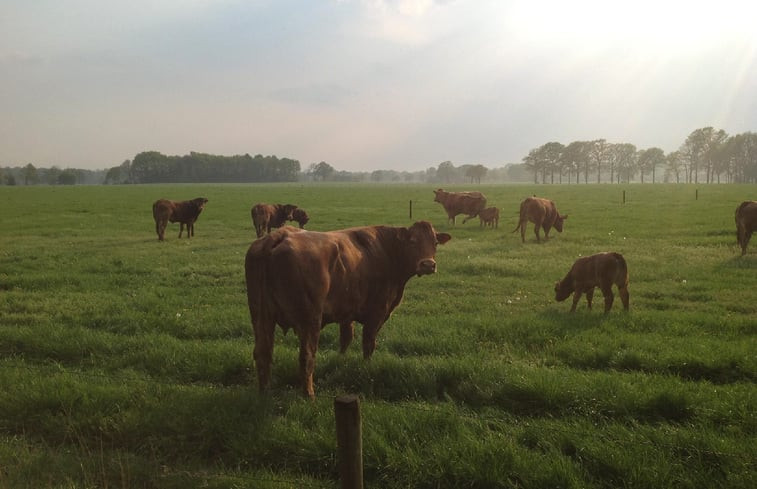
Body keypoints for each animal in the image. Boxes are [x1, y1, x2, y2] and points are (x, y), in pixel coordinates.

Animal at [245, 220, 452, 396]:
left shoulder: (346, 312)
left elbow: (346, 339)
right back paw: (309, 395)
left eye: (435, 242)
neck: (386, 251)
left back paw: (264, 393)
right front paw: (367, 367)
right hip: (310, 319)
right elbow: (368, 344)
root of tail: (277, 236)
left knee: (263, 353)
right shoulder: (377, 313)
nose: (428, 264)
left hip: (261, 317)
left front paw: (341, 360)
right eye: (412, 241)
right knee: (307, 356)